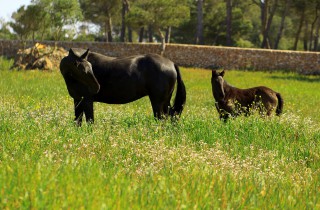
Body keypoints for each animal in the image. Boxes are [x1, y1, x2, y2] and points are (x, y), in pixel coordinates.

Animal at [59, 48, 188, 125]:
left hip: (157, 101)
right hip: (165, 101)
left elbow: (90, 120)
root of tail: (171, 63)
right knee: (171, 115)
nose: (96, 87)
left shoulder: (87, 100)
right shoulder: (77, 99)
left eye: (90, 68)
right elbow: (77, 120)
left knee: (161, 118)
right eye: (82, 69)